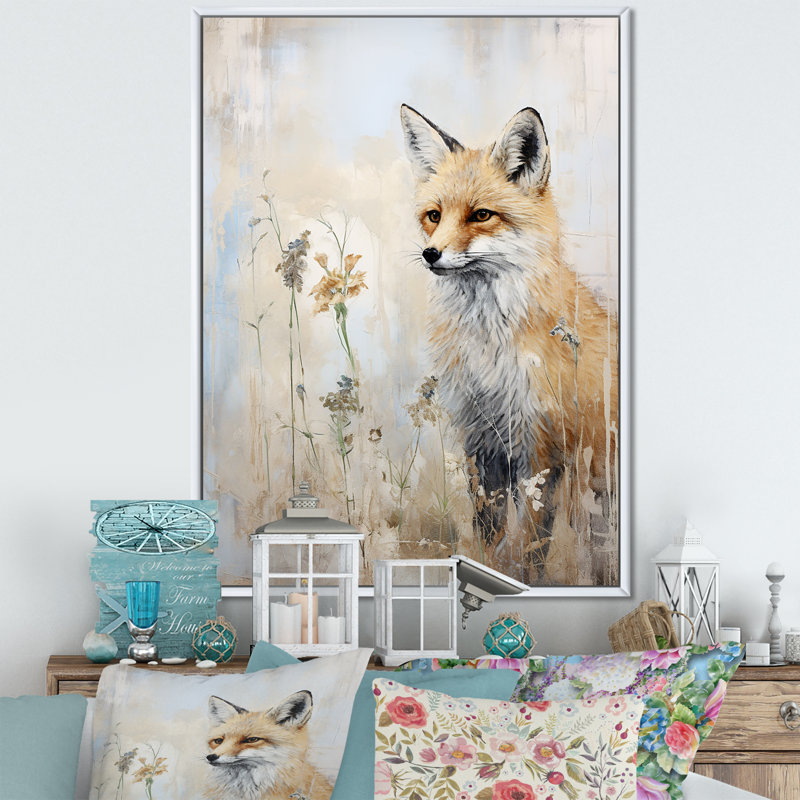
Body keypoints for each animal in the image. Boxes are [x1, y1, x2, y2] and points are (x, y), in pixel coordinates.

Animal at [400, 104, 618, 584]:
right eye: (434, 216)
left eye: (481, 215)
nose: (430, 254)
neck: (489, 350)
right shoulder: (481, 442)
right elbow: (490, 535)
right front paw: (485, 569)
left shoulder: (541, 450)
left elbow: (530, 548)